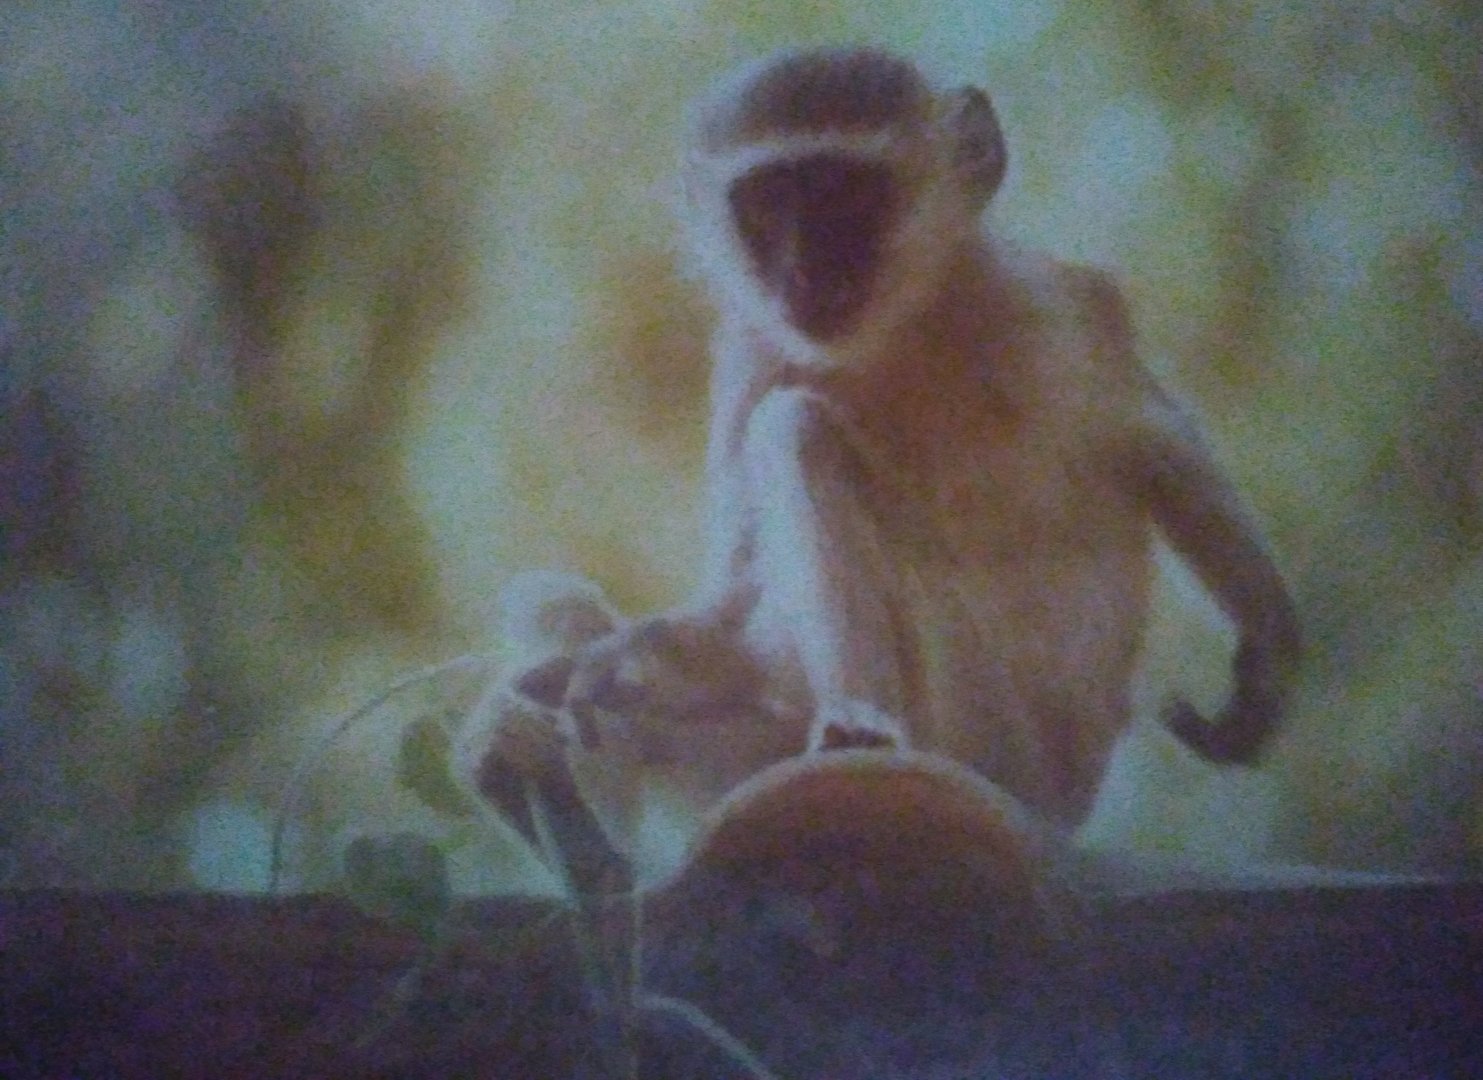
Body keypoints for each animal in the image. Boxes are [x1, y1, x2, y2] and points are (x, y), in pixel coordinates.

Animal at [550, 46, 1302, 829]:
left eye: (842, 192)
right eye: (766, 204)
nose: (805, 272)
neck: (899, 336)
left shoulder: (1038, 299)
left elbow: (1152, 438)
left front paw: (1269, 651)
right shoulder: (752, 351)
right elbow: (737, 575)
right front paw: (652, 657)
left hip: (985, 734)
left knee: (798, 429)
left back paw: (859, 727)